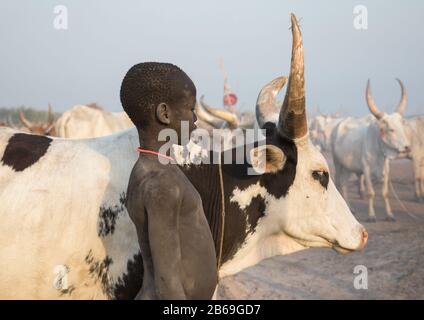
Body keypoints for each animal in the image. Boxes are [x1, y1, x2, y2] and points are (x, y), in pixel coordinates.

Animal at [332, 79, 410, 221]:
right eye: (391, 129)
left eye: (402, 127)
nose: (407, 147)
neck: (378, 150)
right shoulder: (366, 170)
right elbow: (371, 193)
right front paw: (371, 215)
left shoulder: (386, 171)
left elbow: (385, 193)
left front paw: (390, 215)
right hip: (338, 164)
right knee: (339, 183)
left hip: (348, 168)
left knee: (345, 185)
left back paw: (351, 209)